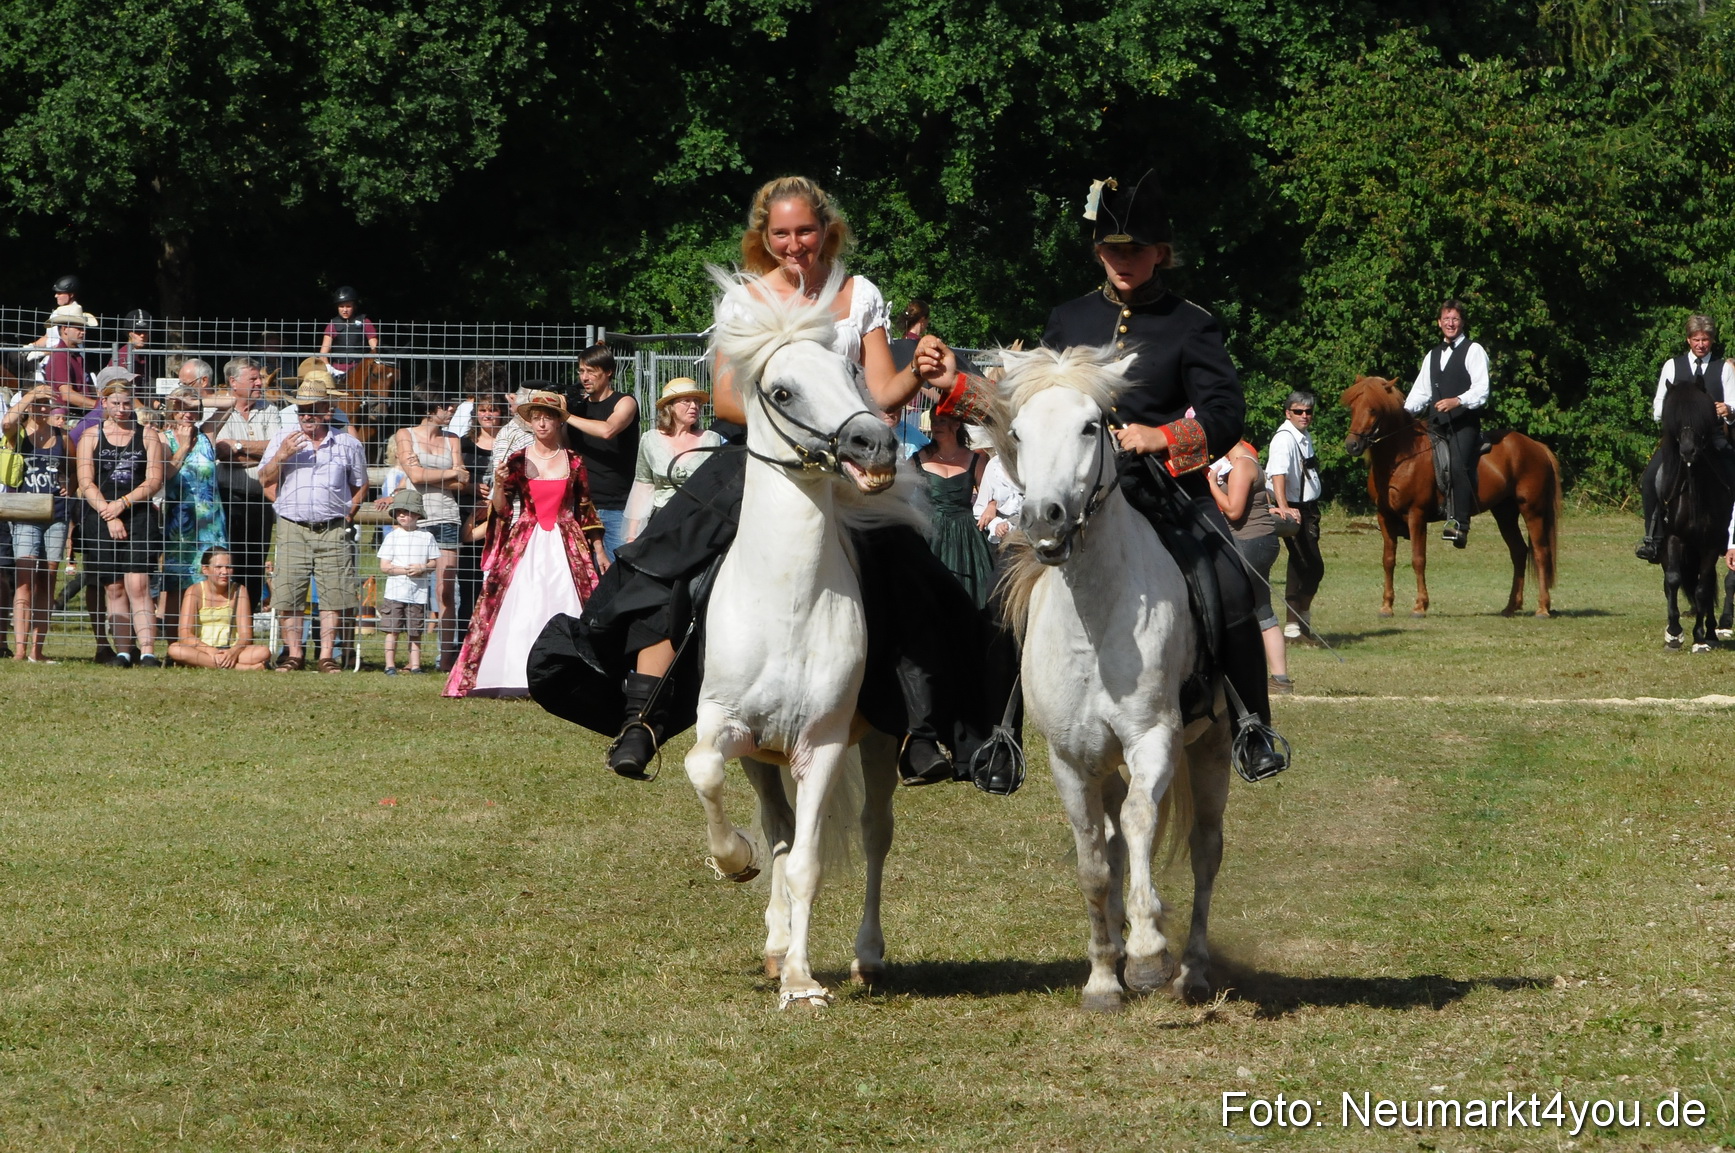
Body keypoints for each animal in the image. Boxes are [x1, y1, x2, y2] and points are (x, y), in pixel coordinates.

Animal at [683, 268, 916, 1009]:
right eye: (782, 390)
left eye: (852, 370)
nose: (875, 445)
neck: (787, 603)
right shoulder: (725, 724)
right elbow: (706, 774)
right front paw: (733, 862)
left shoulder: (823, 743)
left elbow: (811, 862)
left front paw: (802, 981)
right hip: (762, 758)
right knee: (778, 830)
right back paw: (773, 937)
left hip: (874, 744)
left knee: (874, 836)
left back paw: (865, 959)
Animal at [991, 345, 1232, 1013]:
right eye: (1018, 433)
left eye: (1089, 427)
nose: (1043, 519)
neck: (1095, 626)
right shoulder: (1071, 759)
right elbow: (1095, 861)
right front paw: (1104, 975)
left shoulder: (1154, 737)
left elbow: (1141, 823)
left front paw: (1149, 953)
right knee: (1117, 843)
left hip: (1212, 746)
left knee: (1204, 850)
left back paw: (1191, 969)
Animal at [1341, 376, 1562, 618]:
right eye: (1353, 407)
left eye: (1373, 409)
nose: (1352, 445)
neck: (1401, 458)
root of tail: (1536, 446)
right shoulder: (1384, 517)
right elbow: (1388, 560)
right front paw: (1386, 606)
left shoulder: (1416, 515)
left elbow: (1418, 559)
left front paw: (1420, 605)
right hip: (1505, 514)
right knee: (1519, 552)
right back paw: (1511, 606)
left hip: (1532, 511)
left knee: (1540, 553)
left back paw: (1543, 607)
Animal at [1656, 381, 1735, 651]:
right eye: (1675, 418)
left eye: (1702, 417)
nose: (1688, 451)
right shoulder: (1674, 538)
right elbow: (1673, 580)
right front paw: (1674, 632)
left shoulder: (1710, 544)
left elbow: (1702, 588)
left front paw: (1699, 636)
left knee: (1707, 583)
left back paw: (1710, 631)